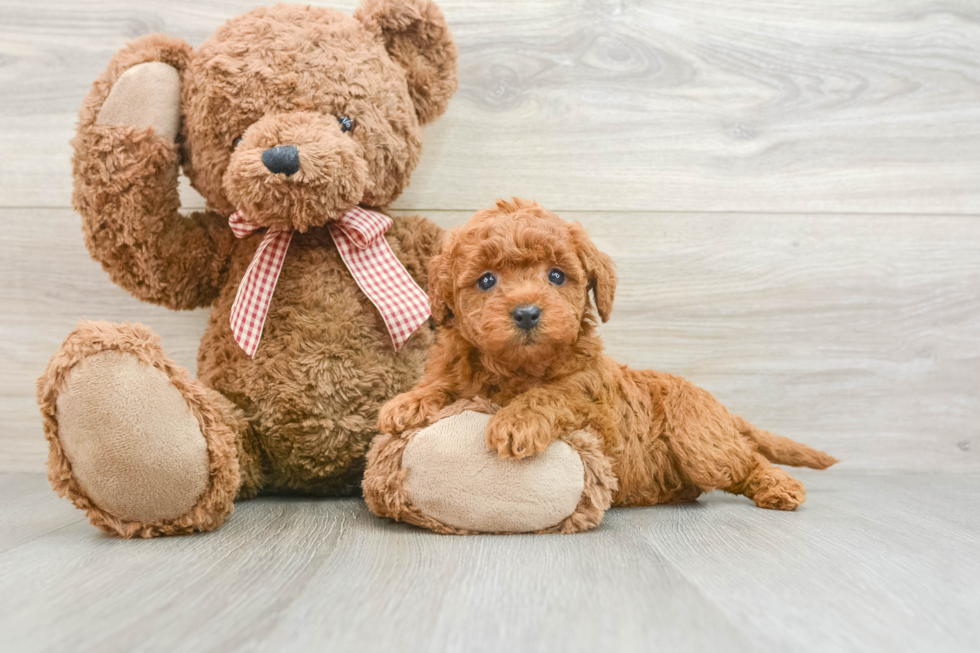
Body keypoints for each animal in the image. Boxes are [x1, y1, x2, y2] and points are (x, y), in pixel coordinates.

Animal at [378, 199, 840, 510]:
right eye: (487, 280)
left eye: (556, 275)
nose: (526, 312)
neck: (517, 368)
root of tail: (722, 411)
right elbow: (445, 383)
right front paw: (408, 402)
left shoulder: (596, 402)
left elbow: (555, 393)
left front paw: (517, 420)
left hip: (701, 443)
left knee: (744, 460)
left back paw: (779, 486)